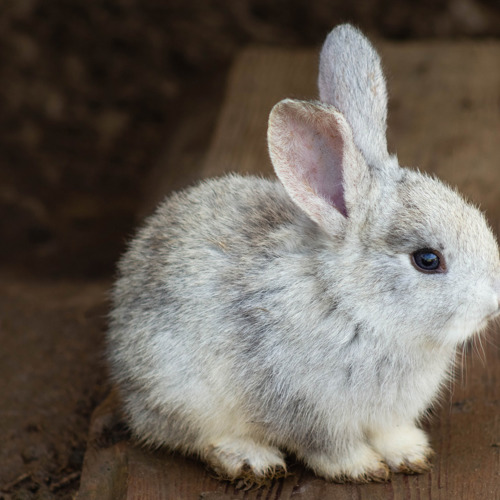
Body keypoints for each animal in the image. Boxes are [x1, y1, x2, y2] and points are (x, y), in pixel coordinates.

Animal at [107, 24, 500, 484]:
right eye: (427, 260)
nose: (494, 304)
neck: (352, 306)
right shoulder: (305, 408)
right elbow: (329, 448)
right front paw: (362, 468)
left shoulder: (387, 415)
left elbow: (390, 432)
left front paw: (409, 454)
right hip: (180, 390)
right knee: (194, 436)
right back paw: (250, 459)